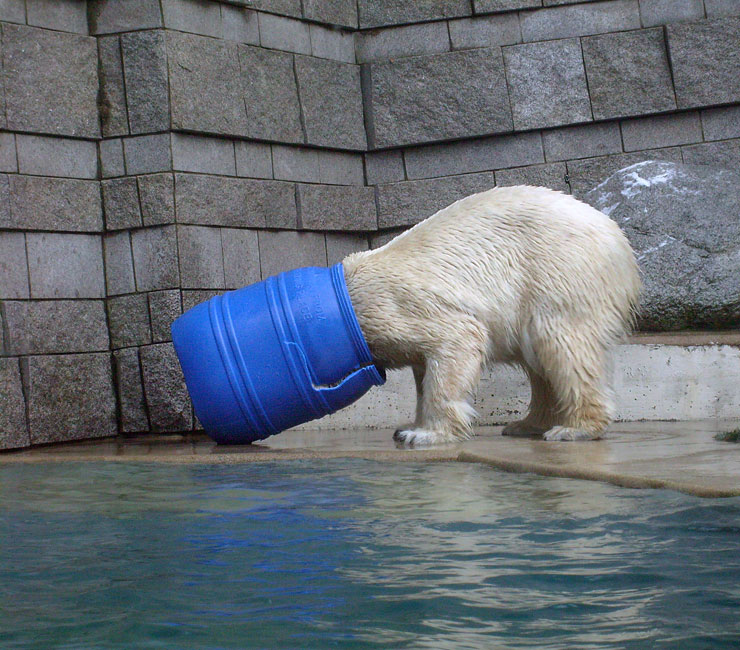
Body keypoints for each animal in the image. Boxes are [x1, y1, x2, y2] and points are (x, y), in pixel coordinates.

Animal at [344, 185, 640, 442]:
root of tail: (618, 237)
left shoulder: (393, 305)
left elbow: (459, 337)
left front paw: (423, 434)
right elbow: (421, 365)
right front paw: (410, 426)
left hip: (560, 273)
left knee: (563, 345)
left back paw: (575, 428)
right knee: (539, 360)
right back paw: (527, 424)